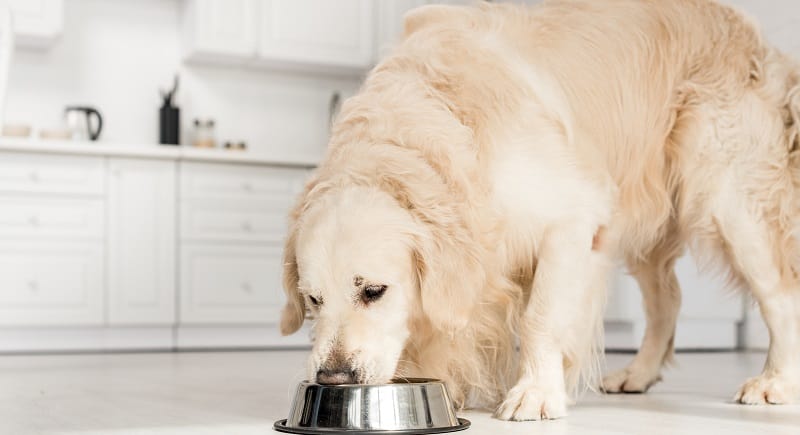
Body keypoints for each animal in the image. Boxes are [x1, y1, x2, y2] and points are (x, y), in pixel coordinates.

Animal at [280, 0, 800, 422]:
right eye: (313, 300)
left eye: (374, 291)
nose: (332, 378)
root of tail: (747, 27)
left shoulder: (572, 220)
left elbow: (541, 318)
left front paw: (535, 393)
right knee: (667, 300)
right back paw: (638, 373)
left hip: (728, 199)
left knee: (778, 294)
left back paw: (775, 381)